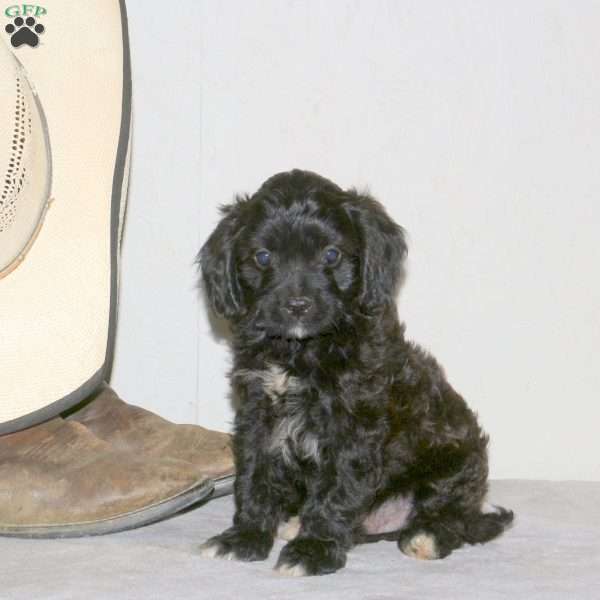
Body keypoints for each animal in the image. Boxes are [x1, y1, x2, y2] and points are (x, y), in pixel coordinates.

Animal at [198, 170, 510, 576]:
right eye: (263, 257)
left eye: (331, 255)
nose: (297, 305)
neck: (301, 350)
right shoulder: (257, 413)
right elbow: (254, 477)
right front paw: (245, 537)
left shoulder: (354, 425)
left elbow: (337, 489)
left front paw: (313, 550)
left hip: (458, 462)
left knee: (456, 516)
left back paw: (428, 535)